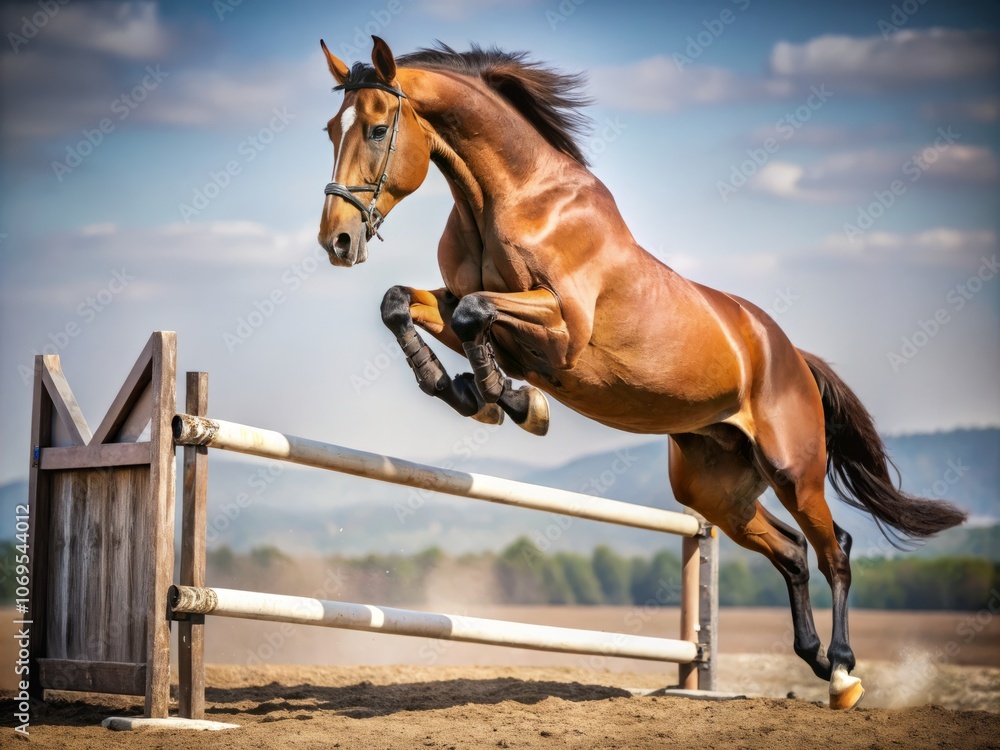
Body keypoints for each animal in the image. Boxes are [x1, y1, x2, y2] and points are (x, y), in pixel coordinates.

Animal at [315, 36, 967, 709]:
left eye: (377, 128)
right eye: (331, 129)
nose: (336, 241)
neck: (508, 199)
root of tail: (792, 356)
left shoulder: (564, 327)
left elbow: (476, 314)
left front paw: (510, 401)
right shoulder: (466, 307)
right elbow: (403, 303)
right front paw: (471, 391)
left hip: (793, 469)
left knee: (835, 550)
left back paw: (841, 673)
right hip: (714, 488)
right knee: (791, 551)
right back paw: (812, 657)